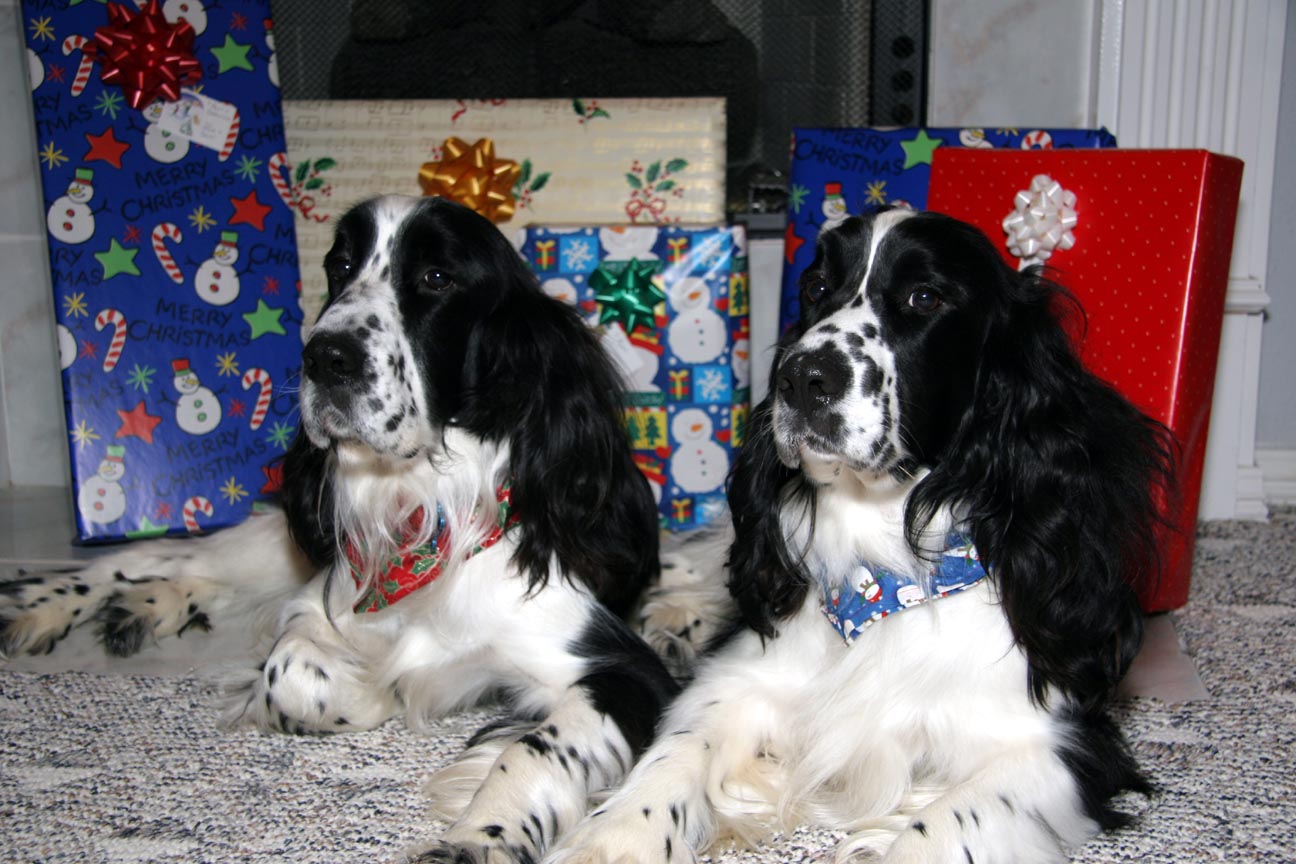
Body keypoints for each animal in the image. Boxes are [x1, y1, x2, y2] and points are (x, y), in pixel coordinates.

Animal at [2, 195, 679, 864]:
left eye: (437, 277)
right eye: (339, 266)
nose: (325, 357)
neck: (418, 510)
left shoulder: (621, 670)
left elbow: (535, 748)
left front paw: (481, 835)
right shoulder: (321, 600)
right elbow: (293, 672)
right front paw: (376, 690)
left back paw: (137, 608)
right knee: (157, 559)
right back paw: (51, 604)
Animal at [546, 209, 1176, 864]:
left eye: (926, 297)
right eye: (816, 287)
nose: (802, 378)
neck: (885, 573)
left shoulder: (1060, 747)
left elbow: (943, 825)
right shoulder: (741, 679)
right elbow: (673, 757)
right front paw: (612, 841)